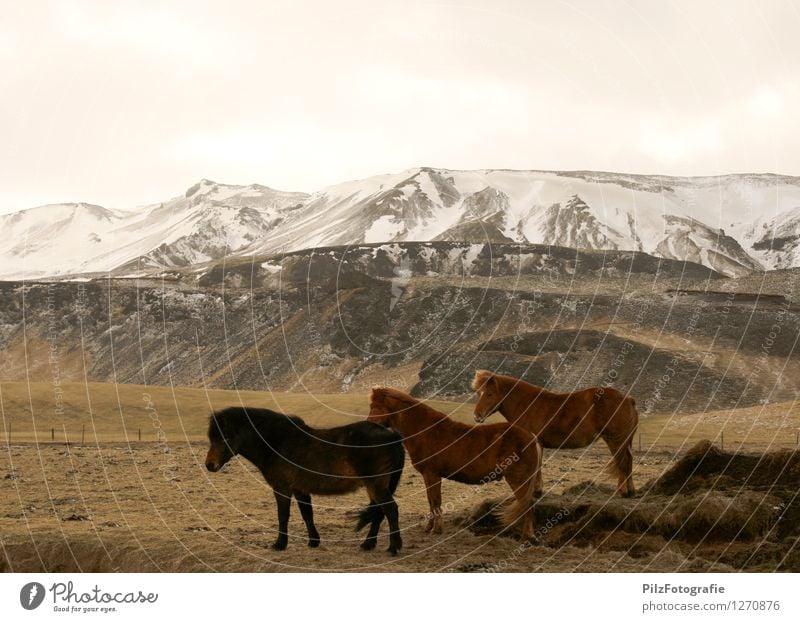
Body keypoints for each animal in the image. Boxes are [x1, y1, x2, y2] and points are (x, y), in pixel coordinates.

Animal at [206, 410, 406, 556]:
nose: (209, 465)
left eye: (224, 438)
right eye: (211, 437)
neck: (278, 442)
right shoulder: (300, 490)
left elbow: (283, 515)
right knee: (379, 512)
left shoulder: (282, 489)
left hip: (376, 485)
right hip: (376, 487)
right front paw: (313, 541)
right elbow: (307, 514)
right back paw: (368, 544)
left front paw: (280, 544)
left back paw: (393, 547)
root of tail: (392, 435)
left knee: (390, 510)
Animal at [368, 390, 540, 540]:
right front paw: (429, 527)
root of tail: (531, 437)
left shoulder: (432, 475)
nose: (368, 426)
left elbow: (436, 501)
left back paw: (528, 536)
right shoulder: (427, 476)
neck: (425, 431)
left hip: (518, 480)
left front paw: (437, 529)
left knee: (527, 505)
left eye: (375, 406)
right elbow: (430, 501)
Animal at [476, 372, 636, 500]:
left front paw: (536, 492)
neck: (527, 404)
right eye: (479, 393)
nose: (477, 416)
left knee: (623, 462)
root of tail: (628, 399)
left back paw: (623, 492)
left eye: (490, 394)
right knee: (628, 462)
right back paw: (631, 492)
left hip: (616, 441)